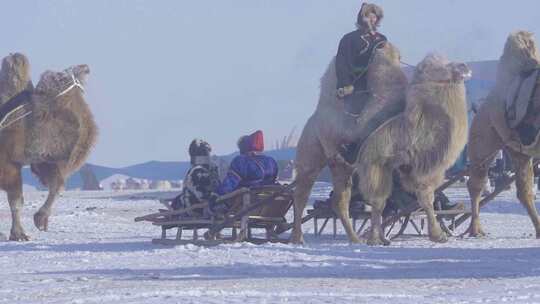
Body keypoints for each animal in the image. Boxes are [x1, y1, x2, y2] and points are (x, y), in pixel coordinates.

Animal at [0, 53, 98, 241]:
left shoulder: (44, 159)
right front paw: (19, 234)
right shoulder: (9, 163)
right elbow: (16, 200)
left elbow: (57, 185)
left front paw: (40, 220)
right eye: (60, 77)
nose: (86, 67)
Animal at [292, 41, 404, 243]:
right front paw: (375, 239)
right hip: (311, 154)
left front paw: (380, 239)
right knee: (300, 195)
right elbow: (378, 199)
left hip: (339, 166)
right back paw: (298, 238)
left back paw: (354, 238)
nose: (381, 42)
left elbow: (380, 201)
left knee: (339, 200)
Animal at [354, 54, 468, 245]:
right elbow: (427, 200)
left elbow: (428, 199)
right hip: (375, 170)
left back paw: (382, 239)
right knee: (378, 203)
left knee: (381, 205)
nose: (465, 66)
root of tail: (361, 154)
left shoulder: (426, 170)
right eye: (442, 67)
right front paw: (438, 235)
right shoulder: (423, 170)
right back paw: (375, 239)